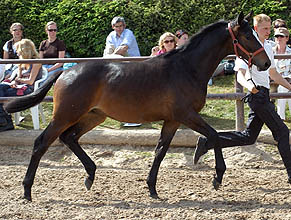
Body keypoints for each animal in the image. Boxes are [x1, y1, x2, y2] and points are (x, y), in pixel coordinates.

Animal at [4, 11, 272, 201]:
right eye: (247, 36)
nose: (266, 62)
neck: (186, 68)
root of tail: (64, 72)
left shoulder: (173, 120)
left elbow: (160, 150)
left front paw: (152, 188)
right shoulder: (186, 115)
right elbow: (214, 136)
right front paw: (217, 177)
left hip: (93, 116)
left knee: (69, 138)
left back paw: (90, 175)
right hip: (65, 115)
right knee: (42, 143)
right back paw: (27, 191)